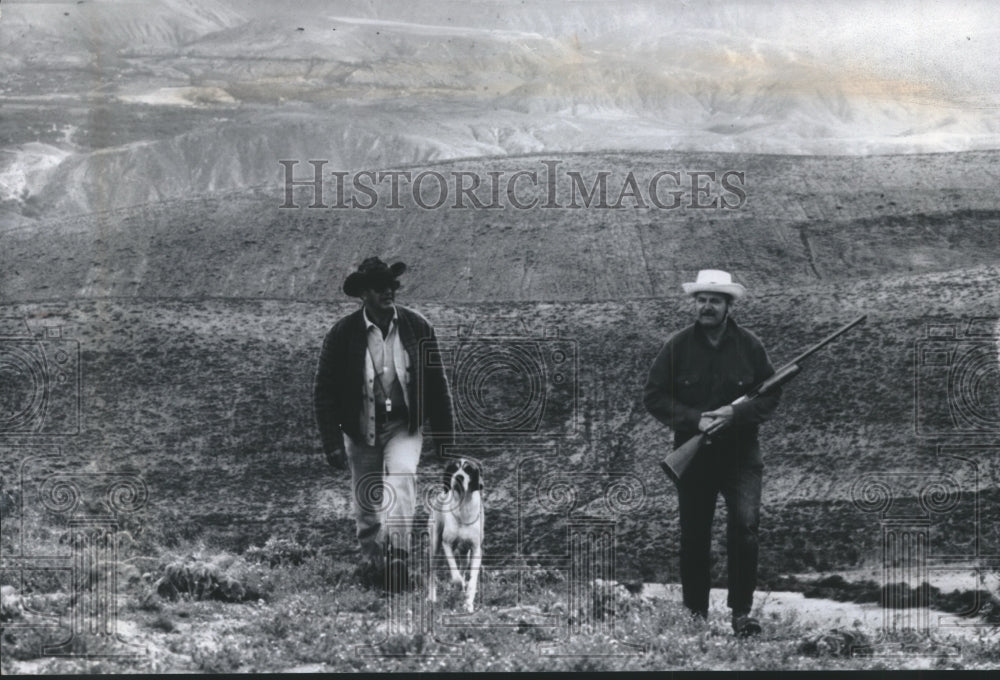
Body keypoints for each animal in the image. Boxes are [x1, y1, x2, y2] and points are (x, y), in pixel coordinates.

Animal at [426, 456, 484, 612]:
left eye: (468, 470)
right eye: (453, 468)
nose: (459, 476)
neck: (463, 507)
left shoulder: (476, 550)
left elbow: (472, 579)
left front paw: (468, 603)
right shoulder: (447, 544)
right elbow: (455, 575)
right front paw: (459, 585)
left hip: (466, 554)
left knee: (463, 568)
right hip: (435, 545)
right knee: (433, 572)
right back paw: (432, 597)